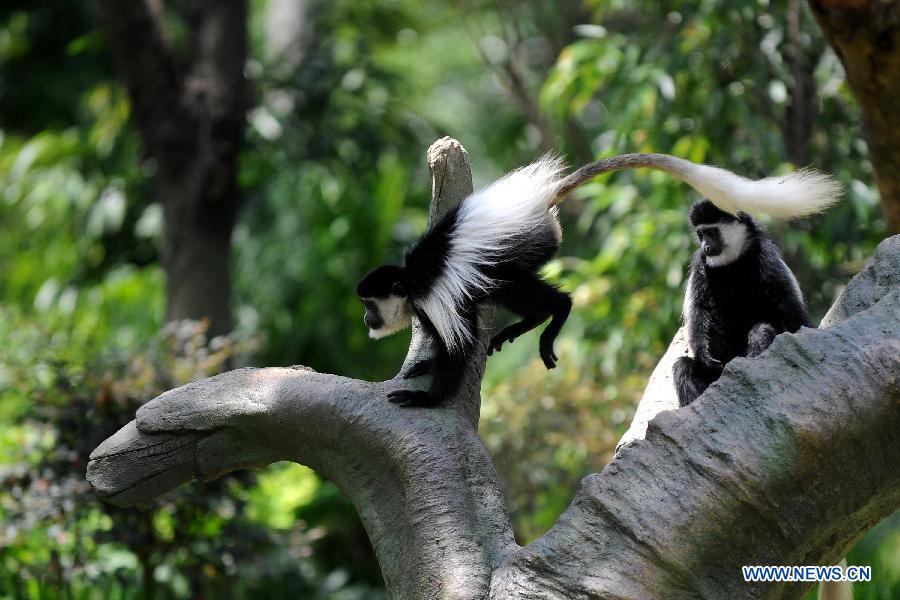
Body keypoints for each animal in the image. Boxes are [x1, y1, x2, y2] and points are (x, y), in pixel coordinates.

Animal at [356, 155, 840, 408]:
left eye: (369, 304)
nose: (366, 321)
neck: (409, 281)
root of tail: (543, 202)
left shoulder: (432, 296)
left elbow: (457, 346)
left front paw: (426, 397)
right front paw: (423, 366)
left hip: (527, 245)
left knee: (516, 285)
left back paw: (552, 318)